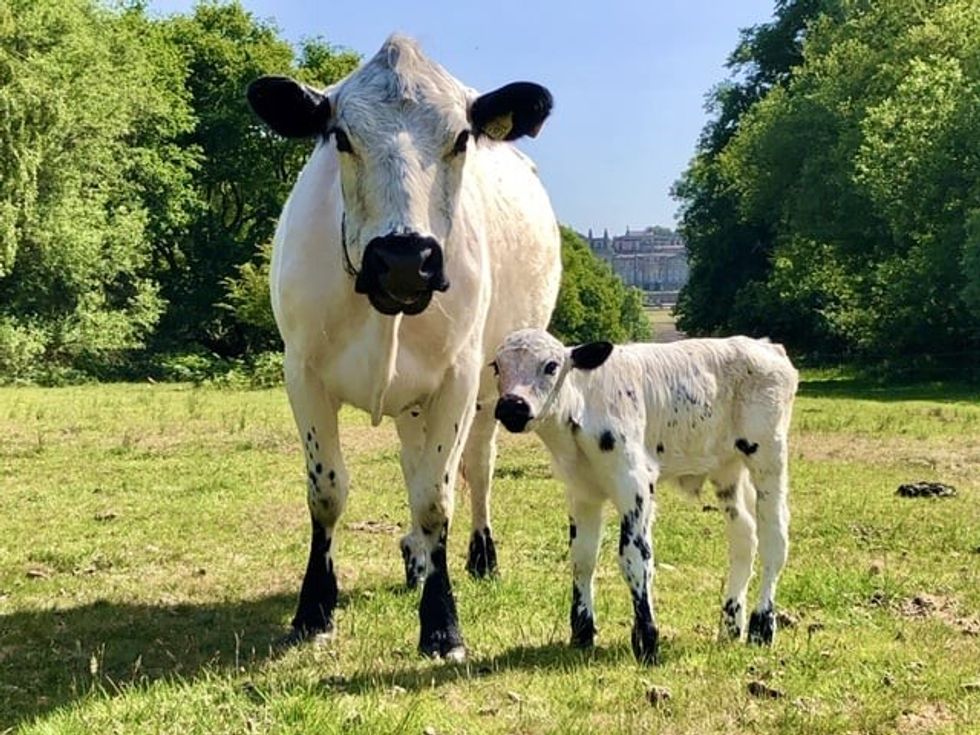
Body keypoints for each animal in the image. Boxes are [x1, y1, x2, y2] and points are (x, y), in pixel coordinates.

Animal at [245, 35, 561, 660]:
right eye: (341, 136)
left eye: (461, 138)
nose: (404, 259)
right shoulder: (302, 372)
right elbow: (328, 491)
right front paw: (314, 609)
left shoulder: (458, 379)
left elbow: (436, 497)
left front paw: (442, 623)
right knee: (412, 459)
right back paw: (415, 559)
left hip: (491, 387)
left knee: (475, 467)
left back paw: (479, 556)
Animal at [492, 329, 798, 663]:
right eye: (496, 367)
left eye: (550, 365)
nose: (512, 406)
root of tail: (766, 346)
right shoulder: (581, 492)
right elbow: (583, 557)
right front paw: (582, 633)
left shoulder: (634, 484)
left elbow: (635, 558)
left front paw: (647, 640)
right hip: (727, 469)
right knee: (744, 536)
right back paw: (731, 626)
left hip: (768, 456)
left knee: (774, 537)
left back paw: (762, 627)